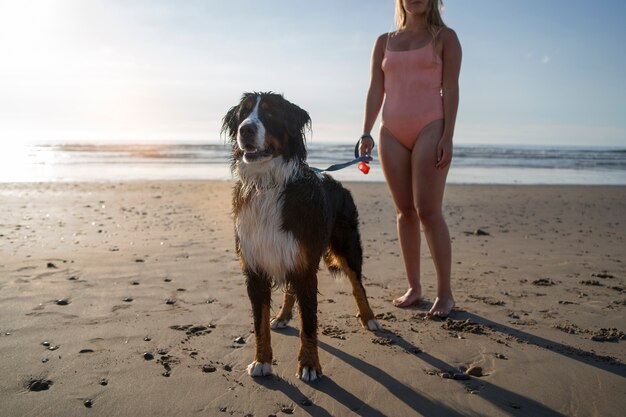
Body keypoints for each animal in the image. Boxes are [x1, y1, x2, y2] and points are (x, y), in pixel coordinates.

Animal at [223, 91, 380, 380]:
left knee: (357, 284)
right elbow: (259, 322)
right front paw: (262, 360)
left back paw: (369, 317)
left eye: (270, 114)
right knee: (289, 291)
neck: (268, 184)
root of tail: (337, 182)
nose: (245, 130)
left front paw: (309, 364)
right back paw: (283, 316)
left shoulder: (305, 267)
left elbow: (309, 323)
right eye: (243, 114)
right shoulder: (256, 265)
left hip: (346, 245)